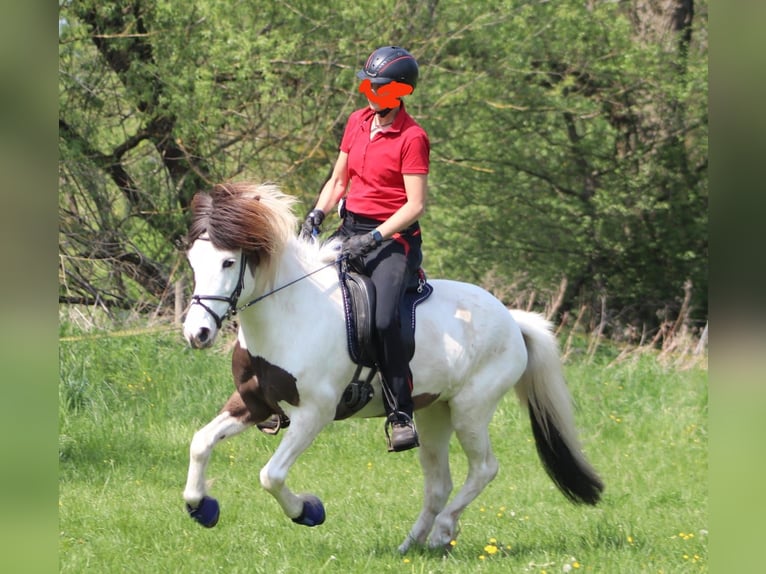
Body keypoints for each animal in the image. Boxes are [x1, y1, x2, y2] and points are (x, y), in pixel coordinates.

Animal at [182, 182, 608, 556]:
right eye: (193, 262)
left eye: (228, 261)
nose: (196, 333)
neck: (290, 313)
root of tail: (512, 319)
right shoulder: (253, 403)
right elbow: (200, 442)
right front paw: (201, 507)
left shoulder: (314, 413)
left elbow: (271, 475)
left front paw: (309, 511)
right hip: (434, 411)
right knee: (439, 484)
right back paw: (412, 545)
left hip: (471, 410)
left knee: (484, 469)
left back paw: (441, 533)